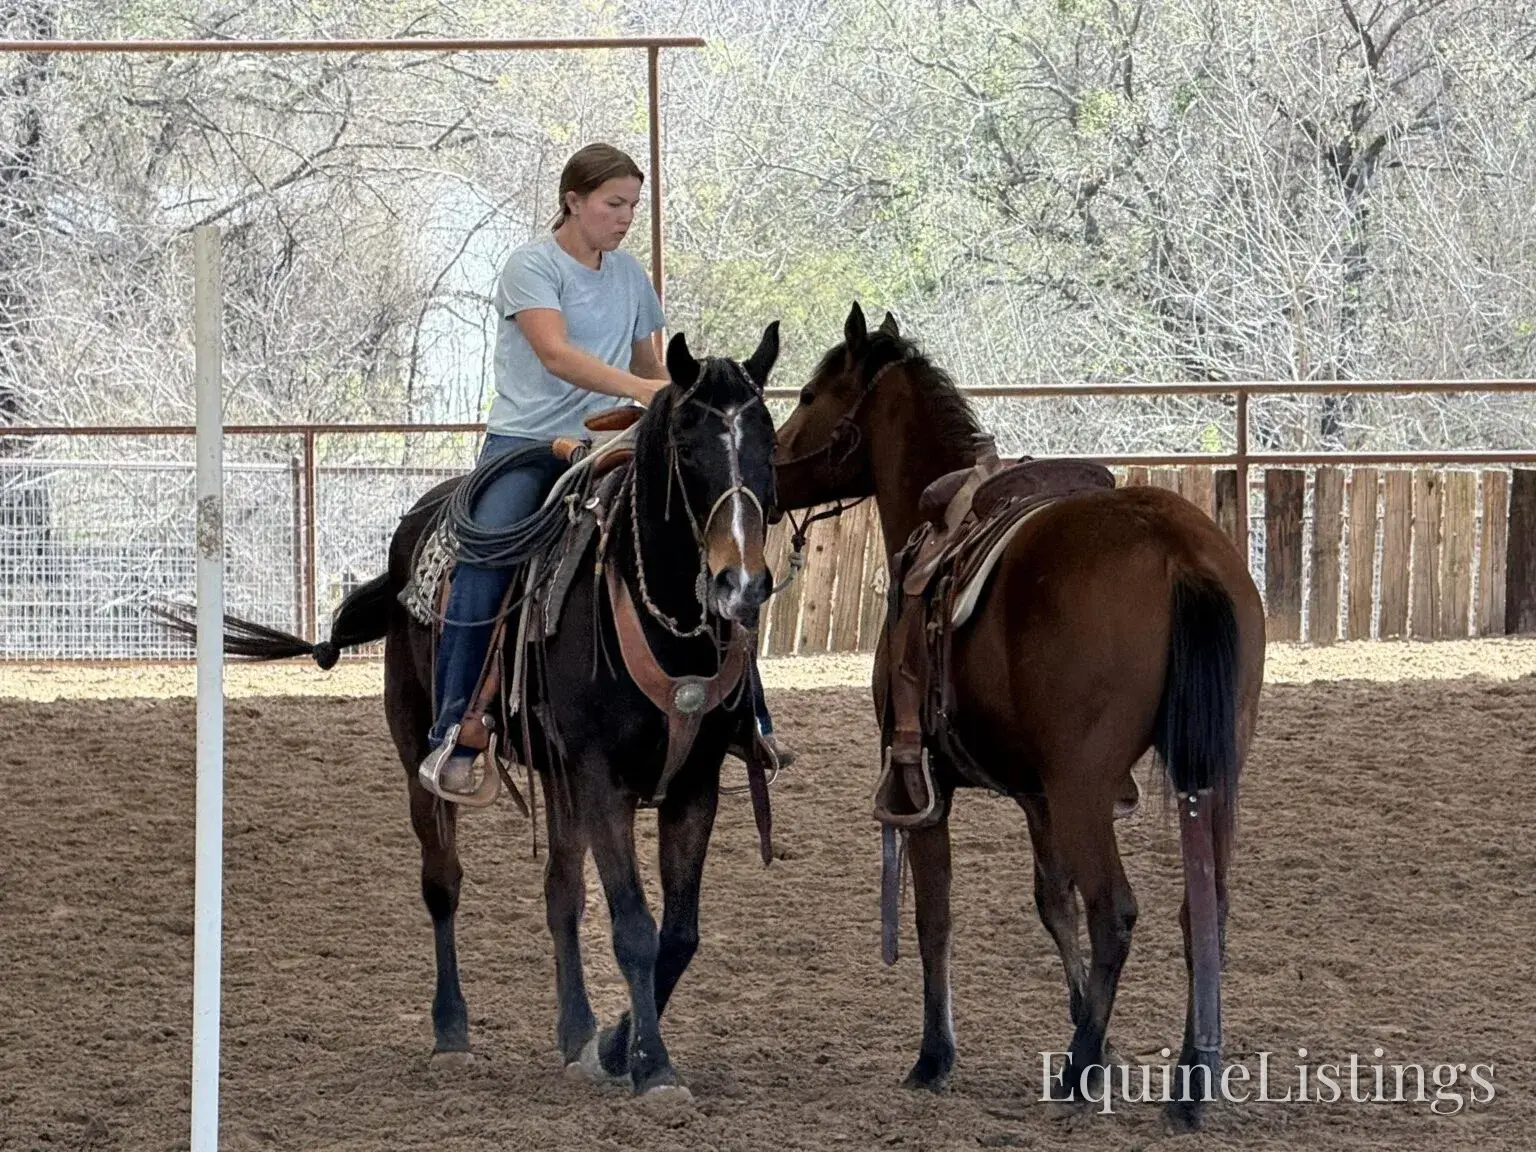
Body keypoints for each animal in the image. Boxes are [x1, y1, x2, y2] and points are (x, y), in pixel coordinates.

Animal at [168, 325, 783, 1098]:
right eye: (689, 445)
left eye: (769, 441)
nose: (742, 583)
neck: (657, 618)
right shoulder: (601, 777)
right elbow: (635, 926)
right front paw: (653, 1066)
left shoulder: (693, 781)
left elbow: (677, 931)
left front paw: (619, 1047)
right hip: (418, 753)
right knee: (443, 884)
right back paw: (451, 1030)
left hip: (556, 776)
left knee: (560, 894)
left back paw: (576, 1032)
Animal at [770, 303, 1264, 1130]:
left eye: (810, 394)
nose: (769, 468)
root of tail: (1177, 550)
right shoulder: (1036, 796)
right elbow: (1051, 903)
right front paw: (1094, 1026)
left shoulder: (925, 784)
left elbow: (936, 917)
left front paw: (935, 1054)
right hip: (1208, 771)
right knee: (1207, 911)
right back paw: (1189, 1081)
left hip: (1085, 785)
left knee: (1116, 911)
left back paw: (1078, 1069)